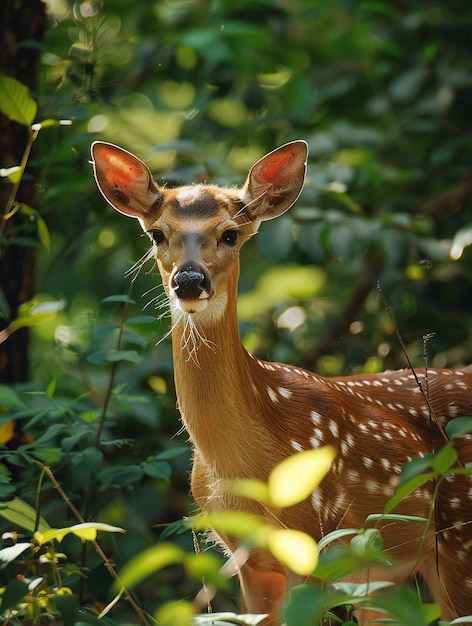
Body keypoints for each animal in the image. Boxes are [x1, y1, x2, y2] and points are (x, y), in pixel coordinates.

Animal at [91, 139, 472, 620]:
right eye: (157, 234)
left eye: (230, 234)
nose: (190, 281)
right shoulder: (247, 557)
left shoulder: (311, 539)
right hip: (383, 577)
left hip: (458, 542)